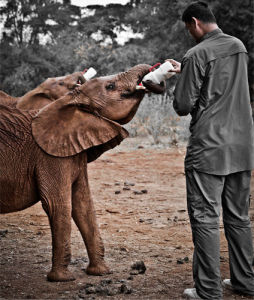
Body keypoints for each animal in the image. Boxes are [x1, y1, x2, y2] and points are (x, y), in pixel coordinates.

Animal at [0, 63, 159, 282]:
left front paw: (101, 272)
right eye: (110, 86)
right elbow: (58, 205)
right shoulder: (49, 157)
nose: (153, 72)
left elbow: (83, 204)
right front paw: (61, 279)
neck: (70, 102)